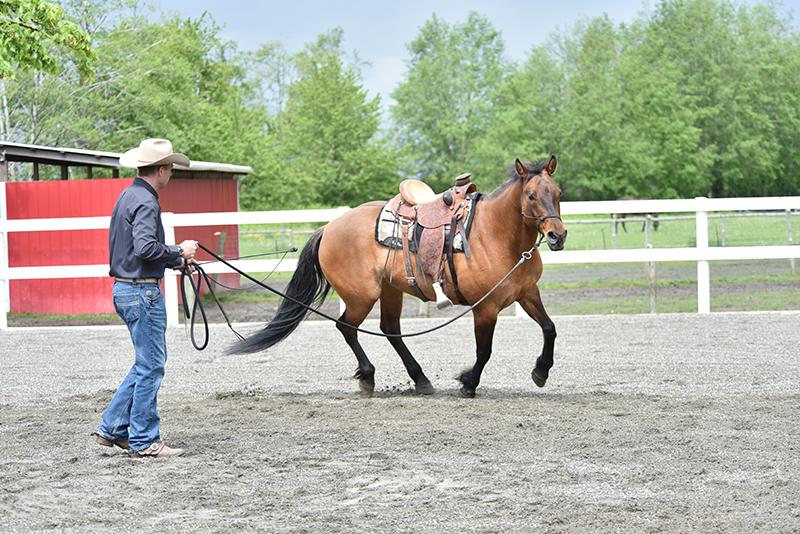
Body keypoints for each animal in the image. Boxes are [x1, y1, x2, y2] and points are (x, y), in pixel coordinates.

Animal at [230, 156, 568, 398]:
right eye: (531, 195)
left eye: (558, 193)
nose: (557, 236)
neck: (494, 235)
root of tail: (329, 226)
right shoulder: (485, 307)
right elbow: (484, 350)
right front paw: (468, 383)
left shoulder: (527, 293)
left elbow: (550, 329)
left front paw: (541, 372)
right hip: (361, 296)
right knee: (347, 327)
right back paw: (368, 377)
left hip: (390, 290)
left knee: (390, 329)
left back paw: (420, 379)